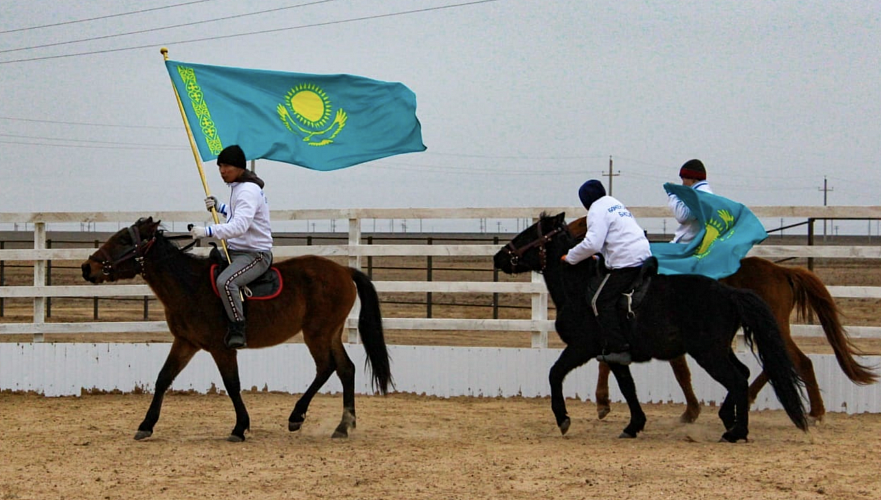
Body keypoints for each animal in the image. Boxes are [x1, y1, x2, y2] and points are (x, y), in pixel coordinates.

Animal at [81, 219, 392, 442]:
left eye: (124, 240)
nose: (87, 267)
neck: (190, 285)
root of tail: (344, 271)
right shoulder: (185, 343)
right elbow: (162, 378)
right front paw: (146, 425)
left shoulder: (222, 348)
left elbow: (232, 384)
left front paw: (240, 427)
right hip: (331, 333)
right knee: (346, 369)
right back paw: (343, 427)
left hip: (316, 334)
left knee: (326, 367)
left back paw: (297, 416)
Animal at [492, 211, 808, 442]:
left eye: (529, 234)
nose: (499, 256)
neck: (579, 287)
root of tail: (729, 292)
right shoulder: (614, 354)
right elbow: (627, 387)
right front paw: (634, 425)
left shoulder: (581, 347)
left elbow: (555, 373)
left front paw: (563, 419)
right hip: (717, 350)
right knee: (742, 374)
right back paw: (728, 420)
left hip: (709, 353)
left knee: (738, 379)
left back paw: (736, 432)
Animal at [568, 217, 876, 424]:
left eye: (582, 224)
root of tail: (782, 271)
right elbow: (675, 370)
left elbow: (675, 371)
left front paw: (603, 402)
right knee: (780, 362)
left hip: (774, 327)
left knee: (799, 361)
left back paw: (815, 412)